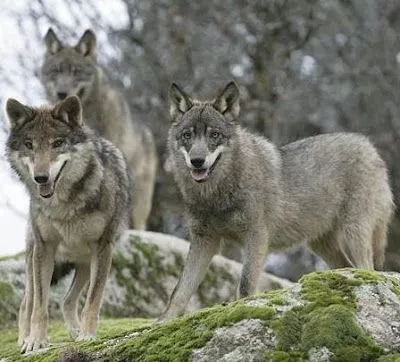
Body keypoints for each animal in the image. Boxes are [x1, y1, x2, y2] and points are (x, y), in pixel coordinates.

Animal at [5, 95, 130, 350]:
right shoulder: (44, 248)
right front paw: (36, 341)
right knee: (27, 304)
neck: (63, 205)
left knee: (67, 300)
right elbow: (40, 307)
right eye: (29, 144)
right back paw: (25, 338)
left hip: (85, 263)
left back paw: (75, 331)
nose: (40, 178)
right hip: (33, 258)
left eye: (58, 143)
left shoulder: (103, 248)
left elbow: (92, 301)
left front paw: (87, 335)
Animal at [159, 81, 394, 320]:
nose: (197, 161)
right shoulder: (204, 241)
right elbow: (179, 292)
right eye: (187, 135)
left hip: (353, 234)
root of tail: (369, 146)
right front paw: (163, 321)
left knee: (368, 269)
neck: (216, 194)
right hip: (321, 245)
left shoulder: (256, 237)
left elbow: (245, 286)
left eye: (214, 135)